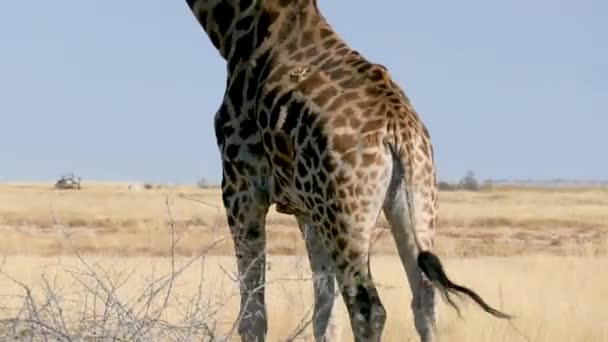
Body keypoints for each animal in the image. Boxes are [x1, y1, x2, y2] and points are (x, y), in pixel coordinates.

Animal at [183, 1, 510, 340]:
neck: (234, 32)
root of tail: (399, 131)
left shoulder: (240, 184)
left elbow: (253, 316)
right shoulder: (307, 209)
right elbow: (325, 316)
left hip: (345, 215)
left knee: (368, 306)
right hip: (414, 200)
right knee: (425, 298)